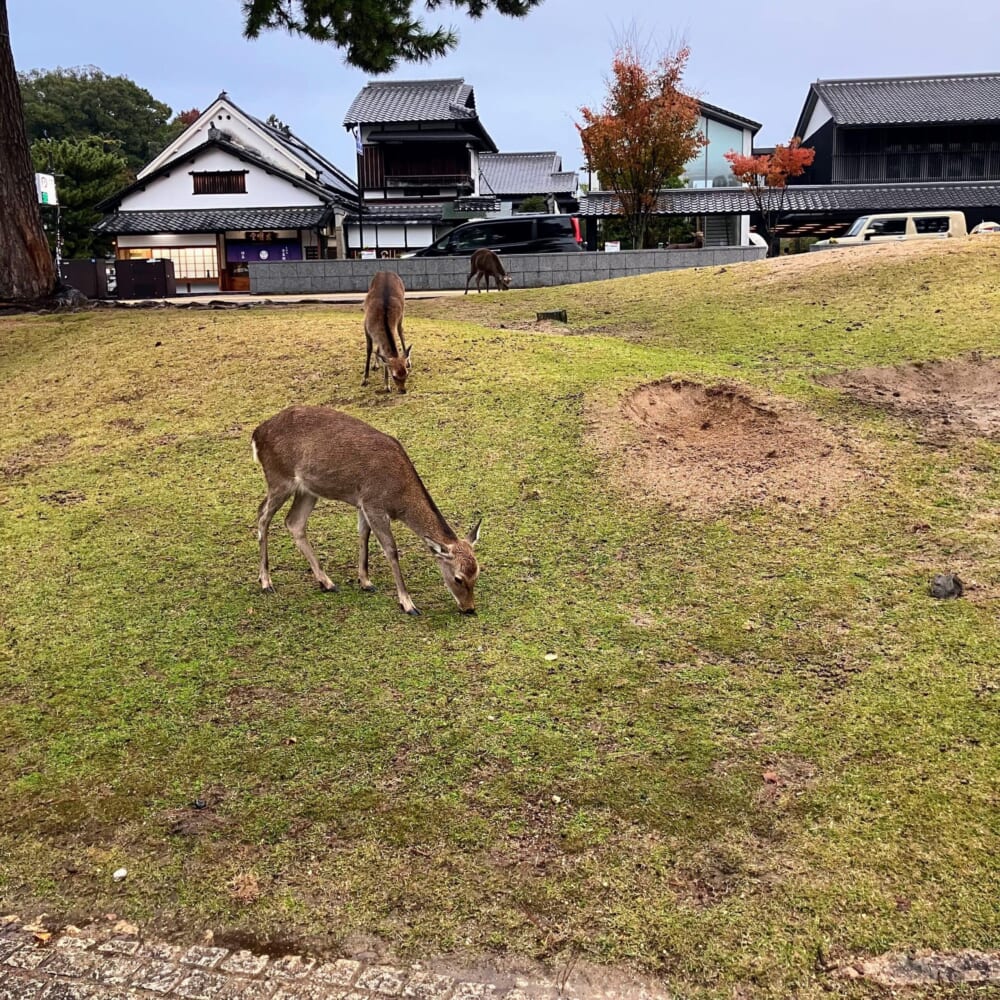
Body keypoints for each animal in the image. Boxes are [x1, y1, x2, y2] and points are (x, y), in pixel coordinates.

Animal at [251, 405, 481, 616]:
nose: (469, 608)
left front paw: (365, 582)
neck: (399, 496)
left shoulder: (363, 502)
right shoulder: (374, 504)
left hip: (307, 490)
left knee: (294, 522)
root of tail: (256, 434)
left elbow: (364, 535)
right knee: (263, 515)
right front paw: (408, 604)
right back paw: (266, 582)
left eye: (477, 572)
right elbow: (390, 549)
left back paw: (327, 582)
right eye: (458, 578)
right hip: (279, 478)